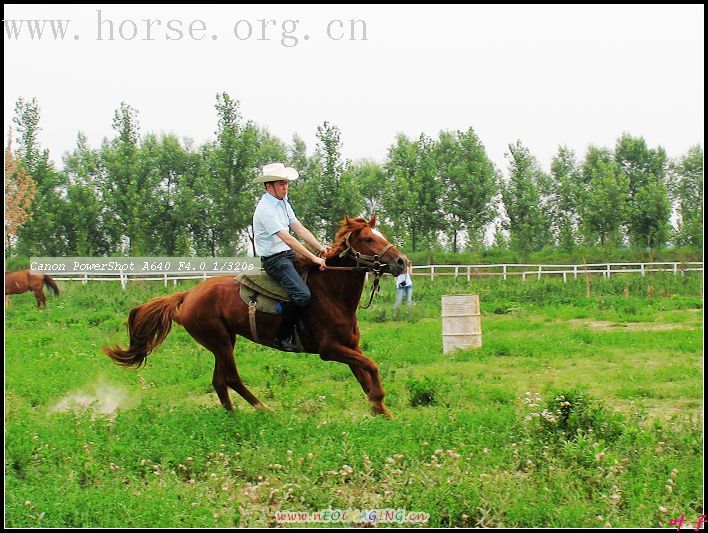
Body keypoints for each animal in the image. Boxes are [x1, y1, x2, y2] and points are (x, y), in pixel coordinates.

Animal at [102, 215, 406, 416]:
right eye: (368, 239)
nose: (402, 262)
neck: (331, 293)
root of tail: (187, 295)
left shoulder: (350, 346)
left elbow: (364, 373)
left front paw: (381, 411)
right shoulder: (329, 349)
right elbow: (372, 367)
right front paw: (379, 400)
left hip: (224, 341)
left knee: (219, 380)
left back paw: (231, 415)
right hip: (220, 342)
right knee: (231, 378)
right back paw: (262, 408)